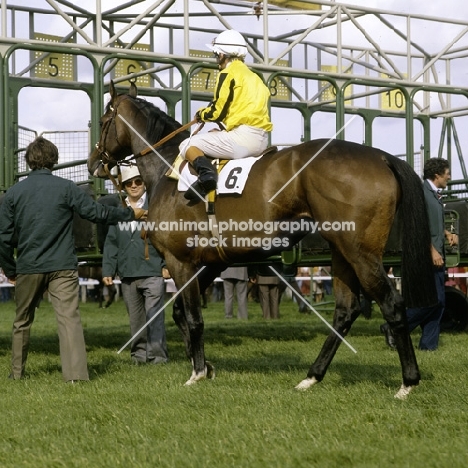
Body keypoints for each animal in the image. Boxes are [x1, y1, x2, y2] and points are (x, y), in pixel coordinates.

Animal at [87, 81, 436, 398]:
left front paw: (197, 372)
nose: (94, 163)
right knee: (345, 311)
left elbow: (194, 318)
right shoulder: (209, 264)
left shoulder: (180, 261)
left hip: (361, 252)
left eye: (103, 121)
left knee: (391, 304)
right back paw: (312, 376)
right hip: (342, 251)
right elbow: (181, 315)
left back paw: (407, 382)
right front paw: (206, 366)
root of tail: (382, 157)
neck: (168, 171)